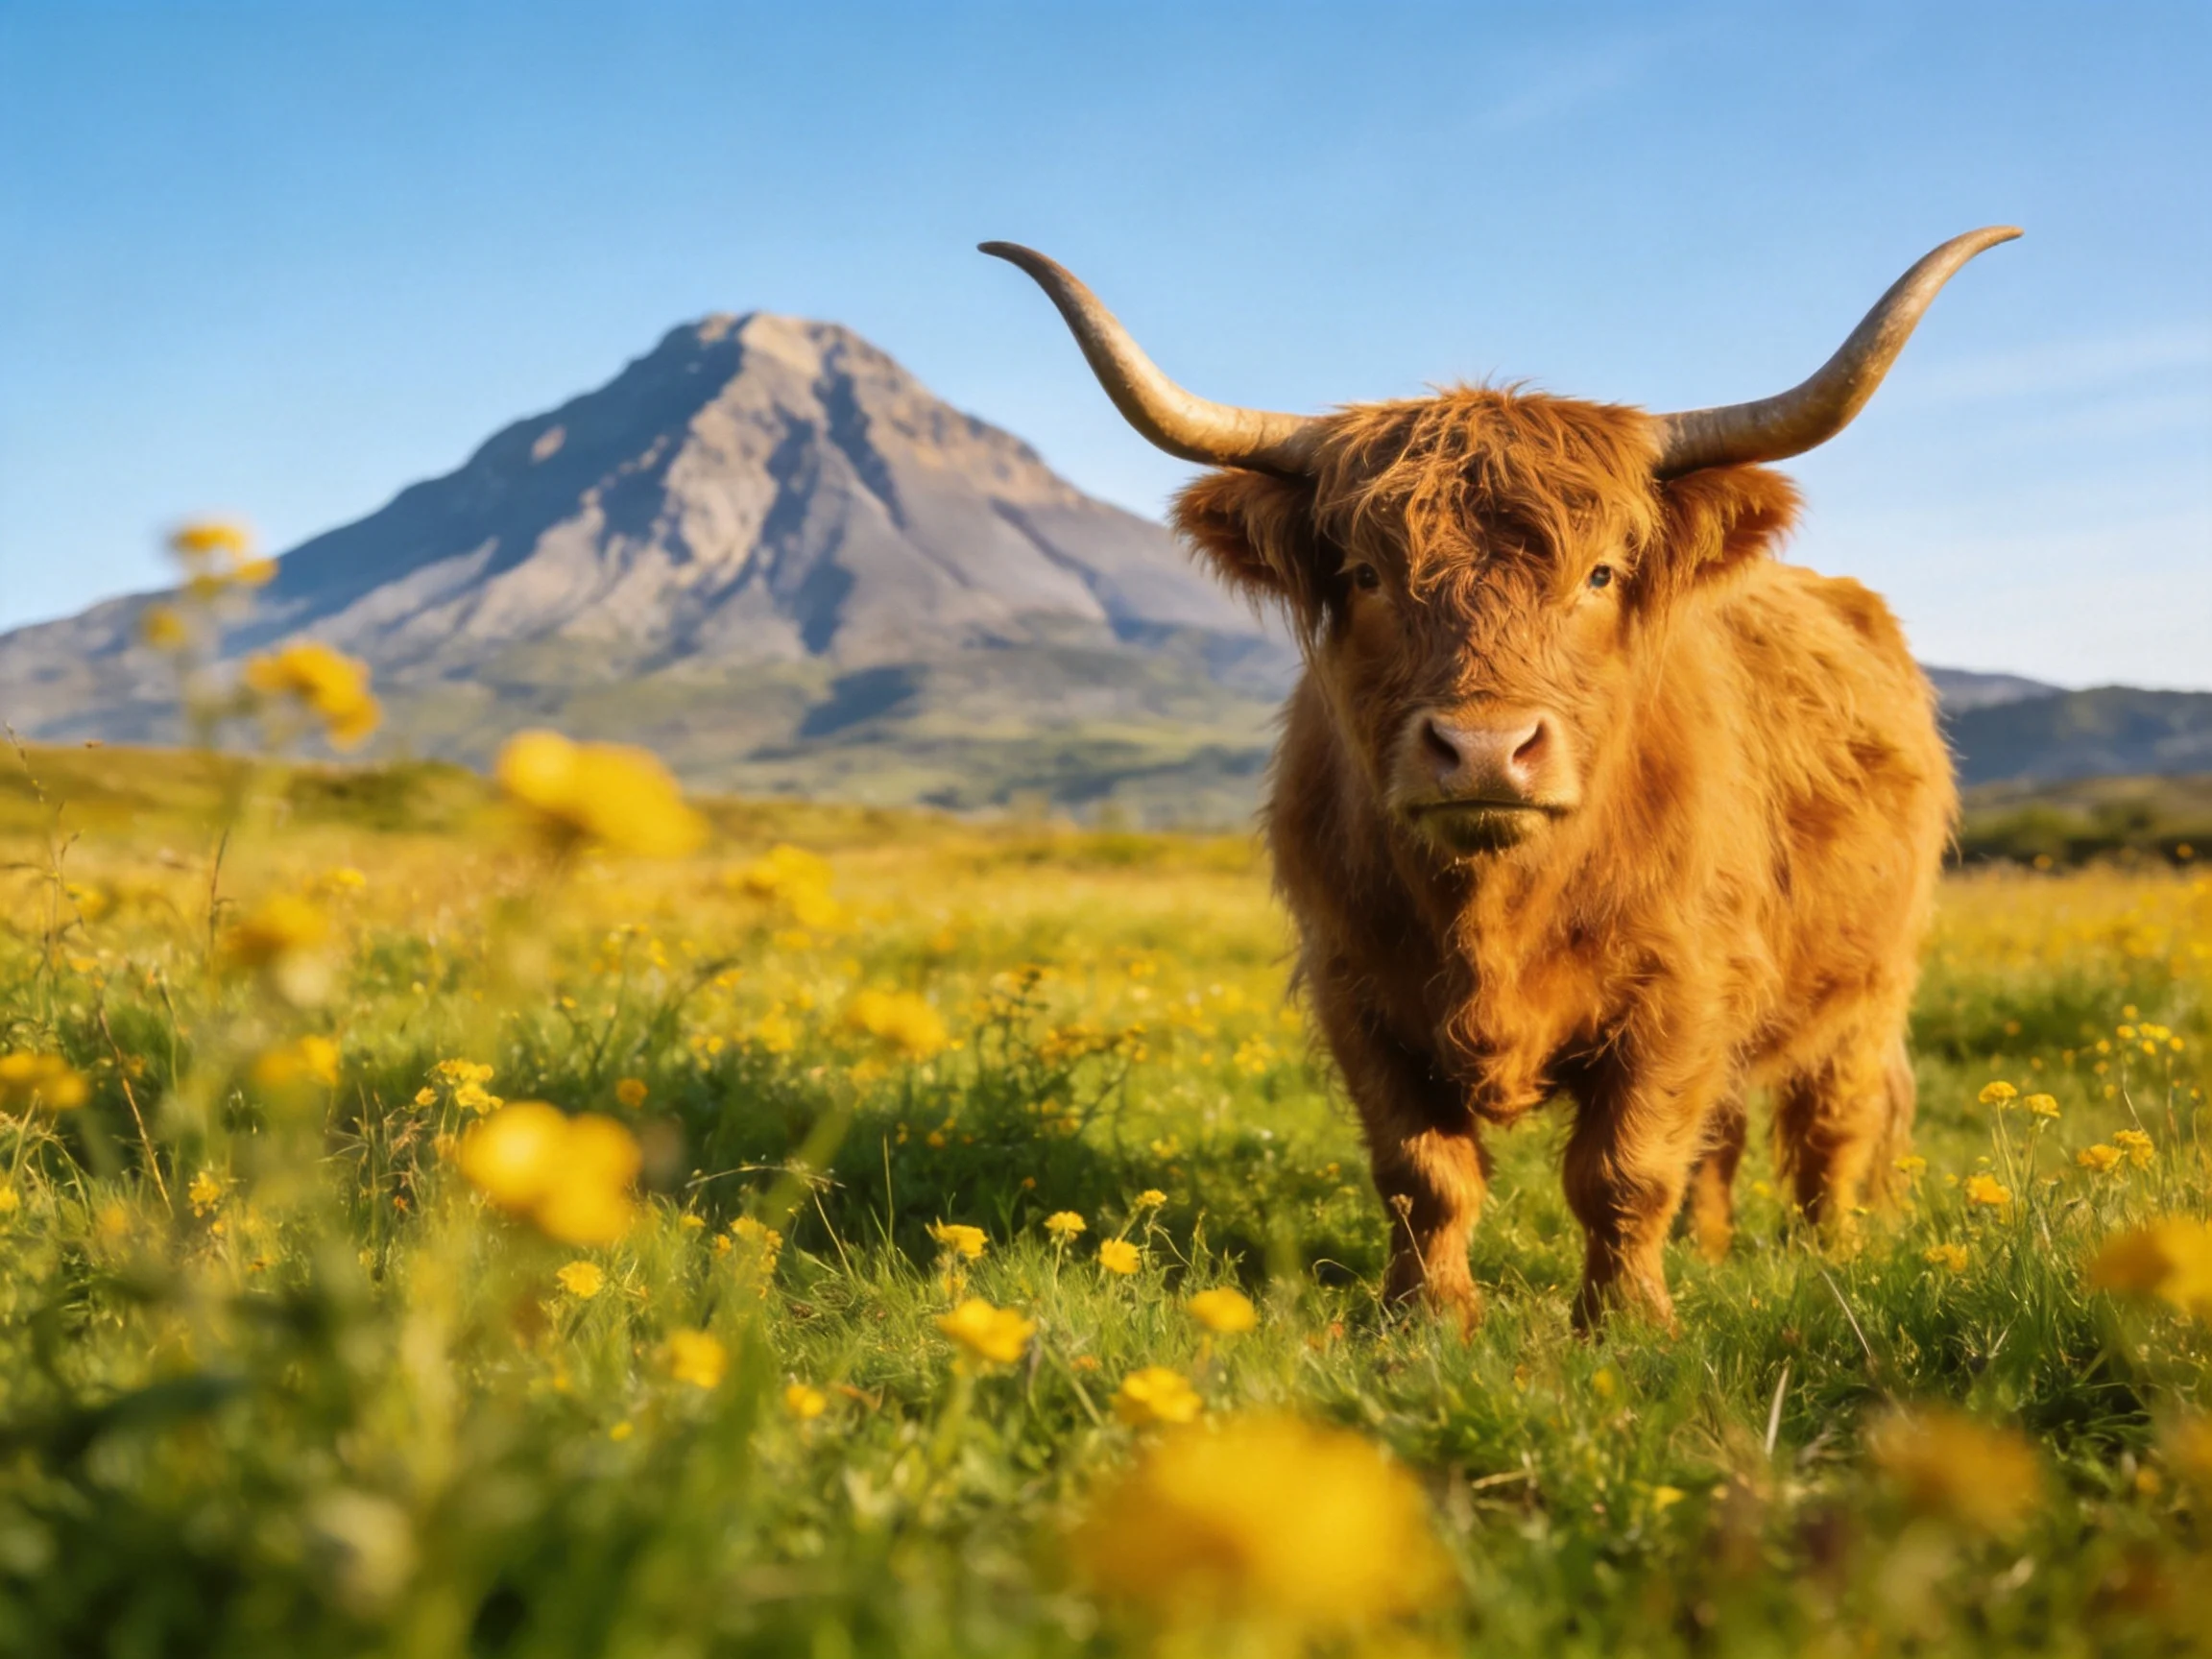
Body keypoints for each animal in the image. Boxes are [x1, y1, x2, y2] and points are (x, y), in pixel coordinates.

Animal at [985, 228, 2017, 1329]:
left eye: (1601, 574)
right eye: (1366, 574)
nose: (1484, 749)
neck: (1496, 907)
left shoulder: (1682, 987)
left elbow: (1625, 1166)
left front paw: (1626, 1323)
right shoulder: (1355, 984)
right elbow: (1423, 1172)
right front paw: (1426, 1319)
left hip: (1871, 982)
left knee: (1832, 1126)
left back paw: (1832, 1256)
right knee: (1727, 1133)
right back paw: (1710, 1249)